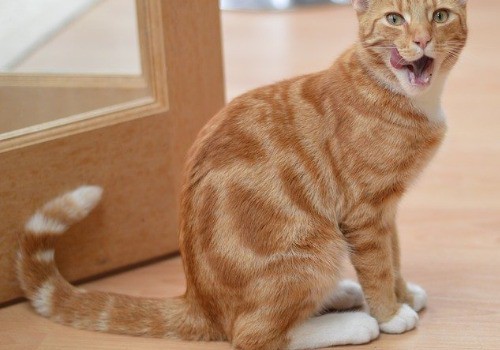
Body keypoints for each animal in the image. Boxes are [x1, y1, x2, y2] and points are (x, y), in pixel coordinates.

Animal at [16, 1, 468, 348]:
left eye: (440, 15)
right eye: (394, 18)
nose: (422, 40)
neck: (407, 97)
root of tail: (199, 301)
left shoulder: (385, 210)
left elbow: (393, 257)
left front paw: (402, 293)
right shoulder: (364, 212)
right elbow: (377, 266)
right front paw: (390, 313)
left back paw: (340, 294)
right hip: (316, 245)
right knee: (253, 335)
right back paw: (355, 322)